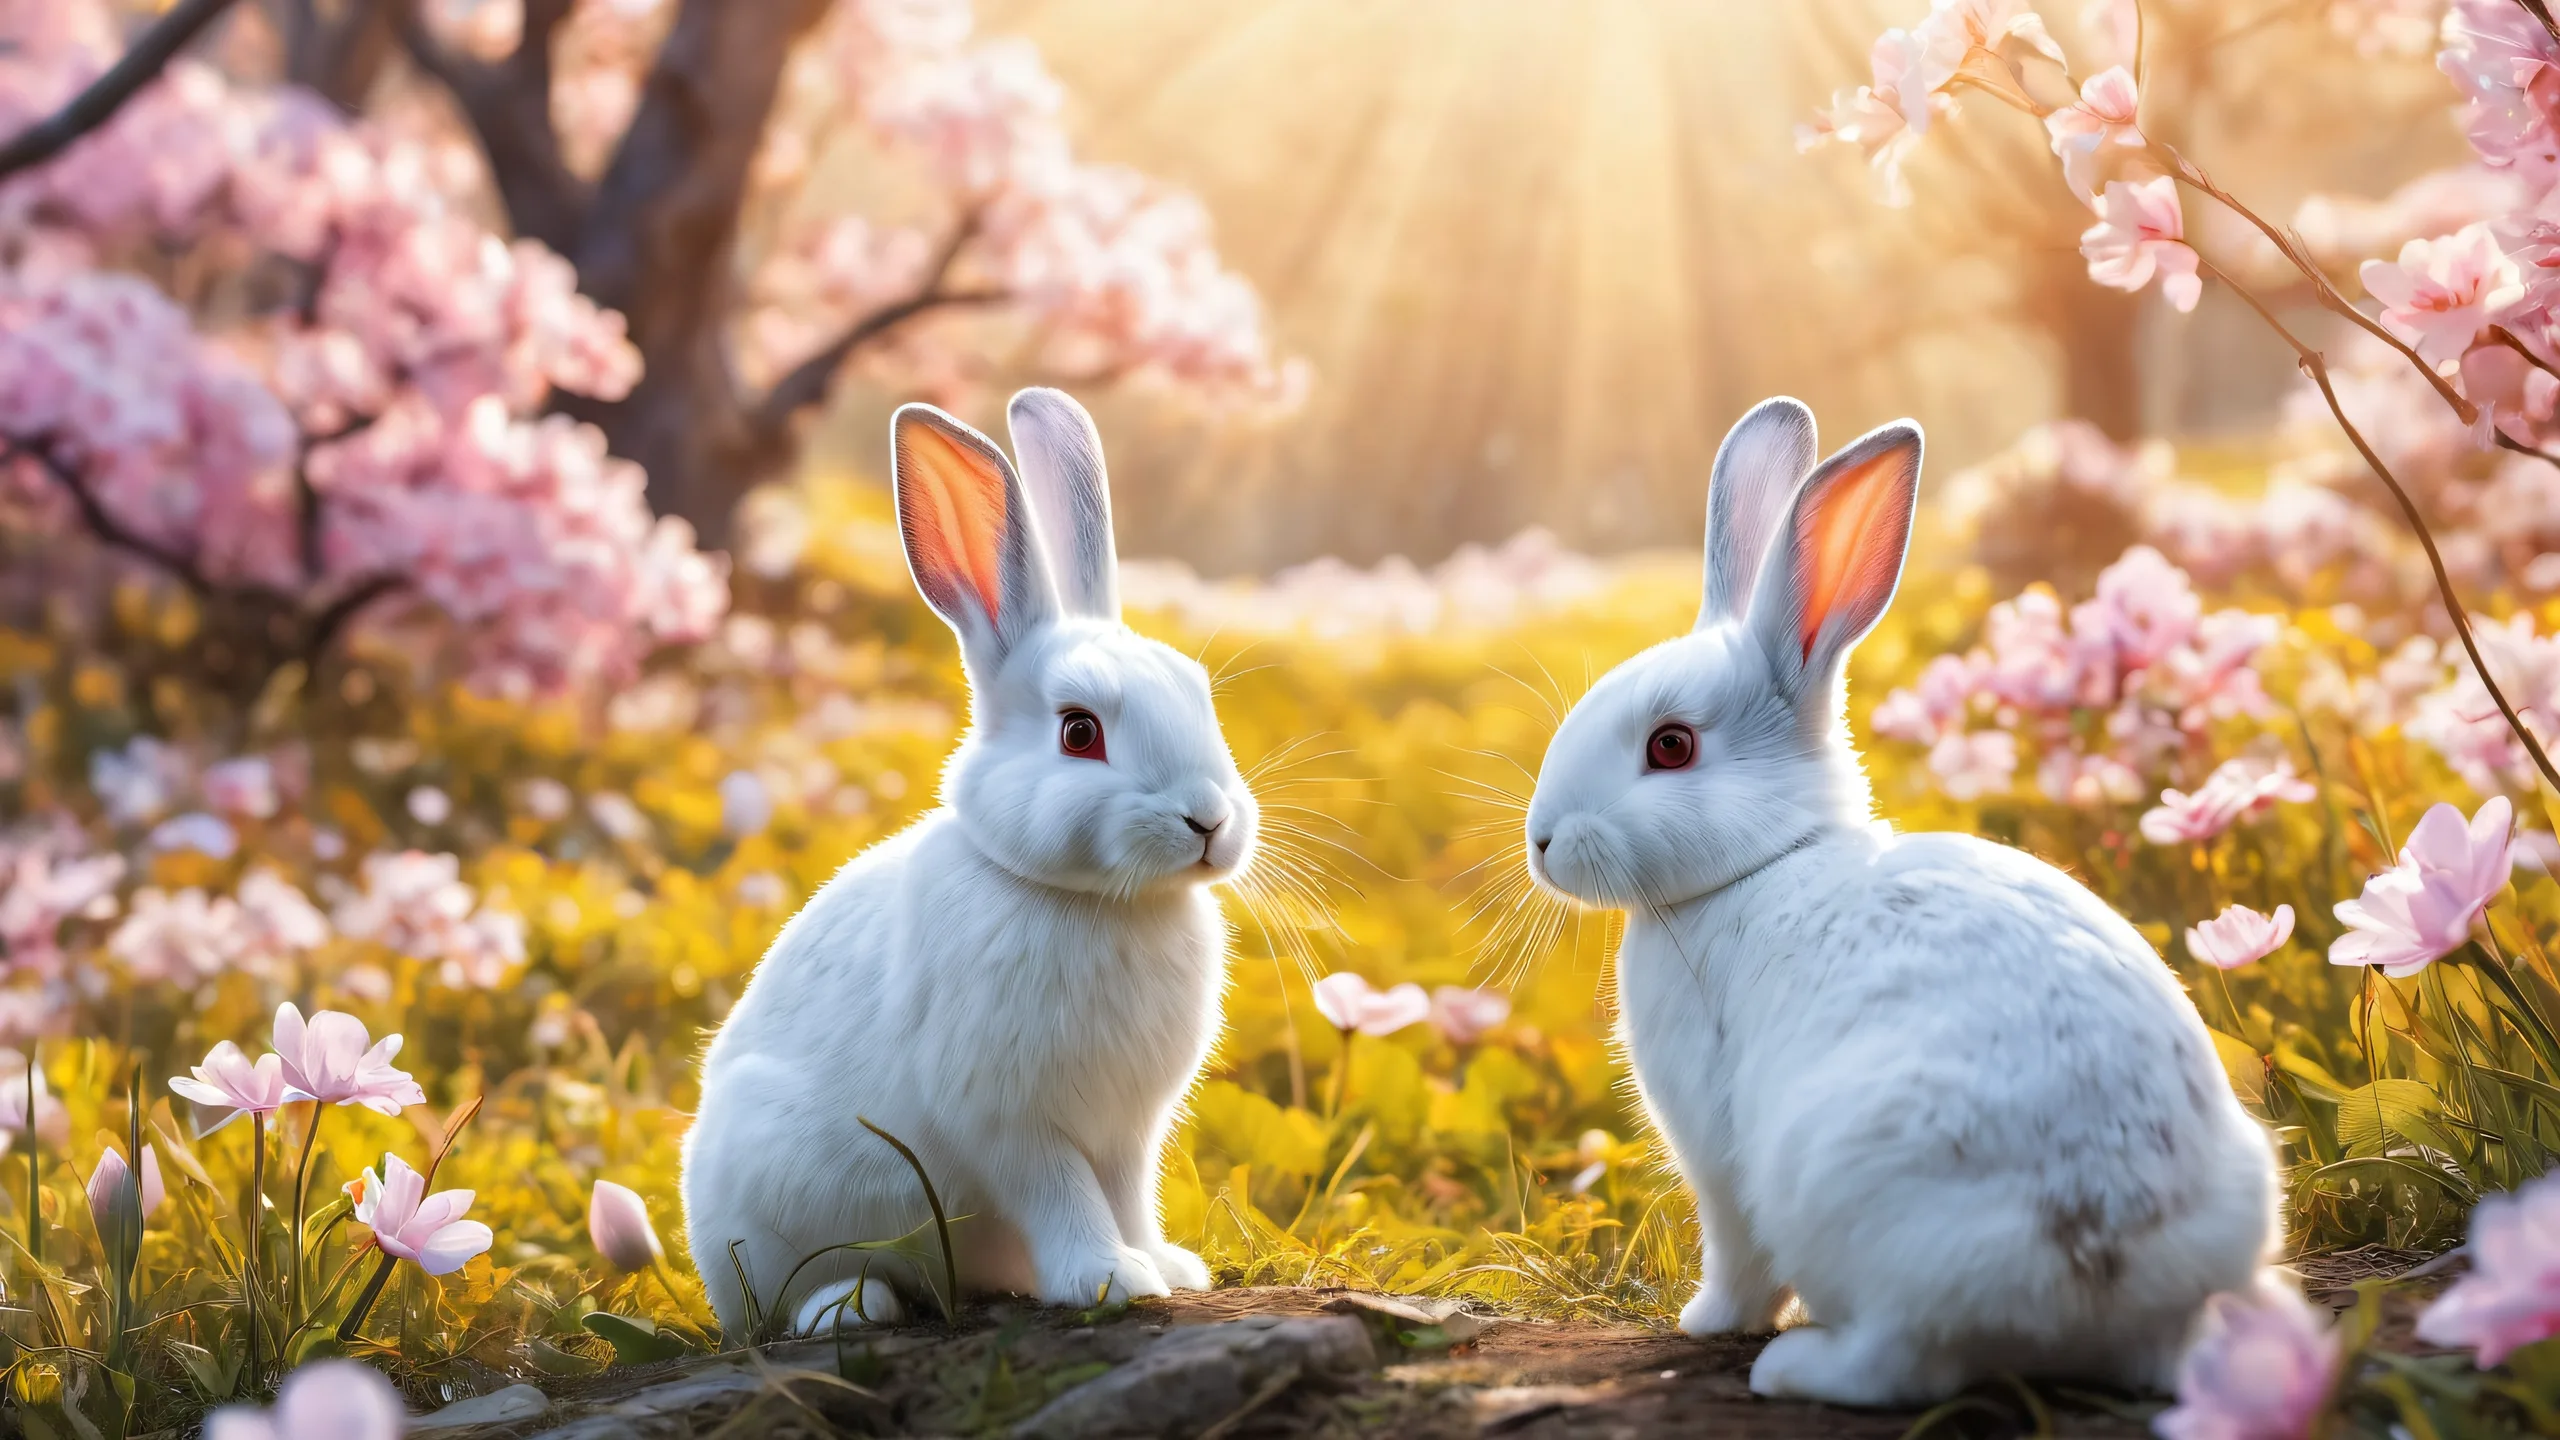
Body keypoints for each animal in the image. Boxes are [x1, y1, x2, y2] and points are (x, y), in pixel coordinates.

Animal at [681, 388, 1256, 1338]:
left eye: (1200, 696)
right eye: (1079, 732)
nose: (1208, 819)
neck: (1095, 901)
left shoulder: (1128, 1133)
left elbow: (1129, 1198)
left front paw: (1168, 1267)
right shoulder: (1009, 1121)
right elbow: (1063, 1197)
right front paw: (1110, 1280)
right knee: (791, 1294)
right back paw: (849, 1311)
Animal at [1521, 397, 2280, 1406]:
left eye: (1671, 746)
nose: (1542, 841)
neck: (1767, 860)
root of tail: (2101, 1258)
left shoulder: (1717, 1160)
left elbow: (1737, 1257)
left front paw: (1706, 1321)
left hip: (1828, 1176)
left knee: (1901, 1361)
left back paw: (1790, 1366)